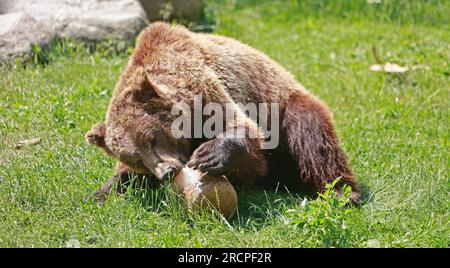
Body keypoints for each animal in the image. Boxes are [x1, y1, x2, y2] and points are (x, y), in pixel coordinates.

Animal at [84, 22, 360, 204]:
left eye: (151, 138)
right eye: (137, 160)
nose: (167, 172)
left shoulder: (211, 87)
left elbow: (243, 129)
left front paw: (209, 156)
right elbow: (121, 177)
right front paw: (101, 192)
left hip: (286, 103)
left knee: (313, 138)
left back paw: (343, 193)